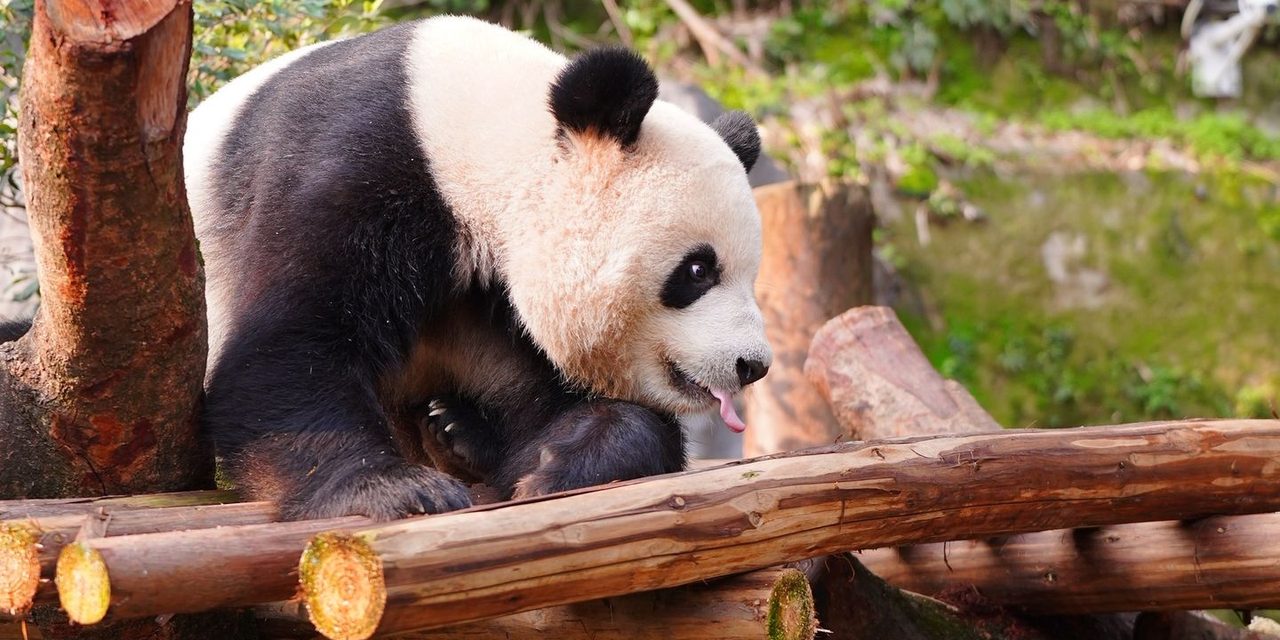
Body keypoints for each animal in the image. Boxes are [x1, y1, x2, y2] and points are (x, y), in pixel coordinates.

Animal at [184, 16, 772, 521]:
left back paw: (456, 430)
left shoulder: (497, 293)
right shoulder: (350, 165)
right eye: (698, 270)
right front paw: (391, 489)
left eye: (749, 274)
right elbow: (287, 344)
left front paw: (562, 464)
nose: (752, 365)